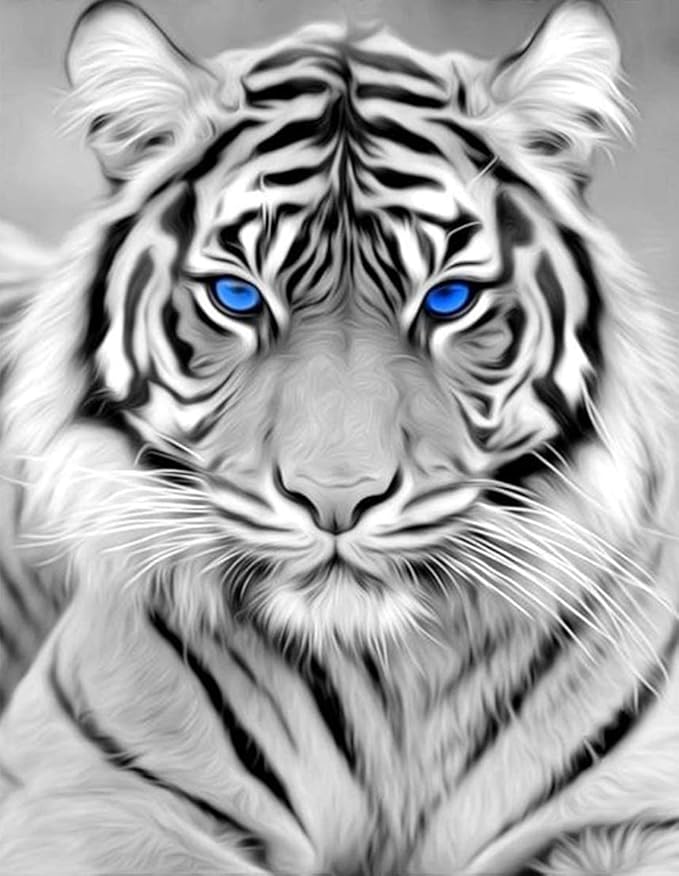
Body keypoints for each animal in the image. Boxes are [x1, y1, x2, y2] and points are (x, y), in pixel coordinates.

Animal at [0, 0, 678, 873]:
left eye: (448, 298)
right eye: (236, 295)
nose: (335, 502)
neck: (393, 687)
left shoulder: (636, 809)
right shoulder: (81, 795)